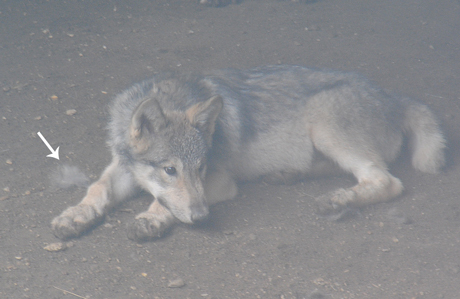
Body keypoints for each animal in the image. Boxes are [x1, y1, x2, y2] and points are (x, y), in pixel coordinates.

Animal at [51, 65, 446, 244]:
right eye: (169, 170)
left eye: (201, 168)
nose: (202, 217)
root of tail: (392, 97)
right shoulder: (122, 167)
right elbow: (97, 189)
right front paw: (75, 215)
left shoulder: (221, 180)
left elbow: (161, 202)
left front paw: (152, 217)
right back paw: (288, 175)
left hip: (324, 125)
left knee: (386, 181)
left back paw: (338, 199)